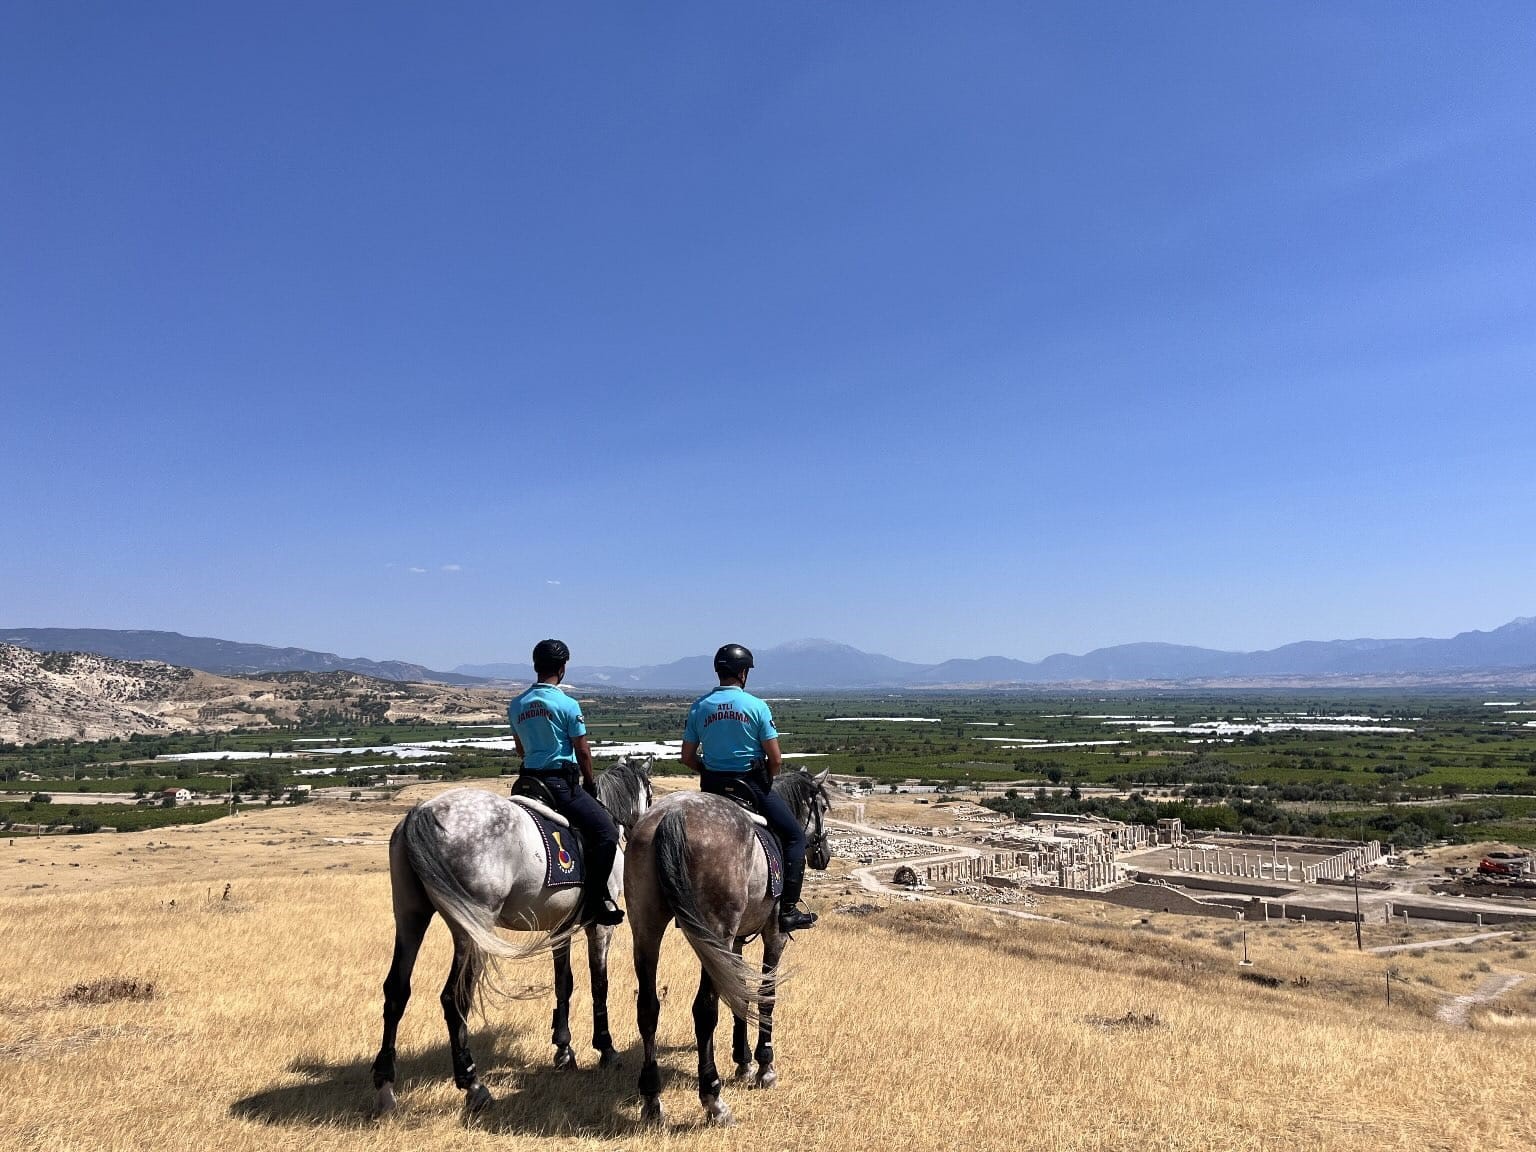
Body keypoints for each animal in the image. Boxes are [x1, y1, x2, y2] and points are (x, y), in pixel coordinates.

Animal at [377, 752, 660, 1112]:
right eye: (650, 793)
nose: (643, 832)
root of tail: (421, 813)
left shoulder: (560, 927)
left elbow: (563, 983)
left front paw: (564, 1051)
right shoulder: (598, 927)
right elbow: (600, 984)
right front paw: (606, 1049)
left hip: (410, 917)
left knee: (396, 991)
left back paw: (385, 1086)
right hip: (471, 928)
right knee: (455, 996)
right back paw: (473, 1085)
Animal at [623, 768, 835, 1130]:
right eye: (820, 806)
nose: (823, 855)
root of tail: (673, 814)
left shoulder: (735, 943)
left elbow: (740, 995)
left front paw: (743, 1061)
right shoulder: (773, 935)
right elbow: (764, 996)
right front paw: (764, 1067)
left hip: (647, 929)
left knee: (648, 1007)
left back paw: (652, 1100)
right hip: (714, 934)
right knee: (704, 1011)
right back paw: (713, 1099)